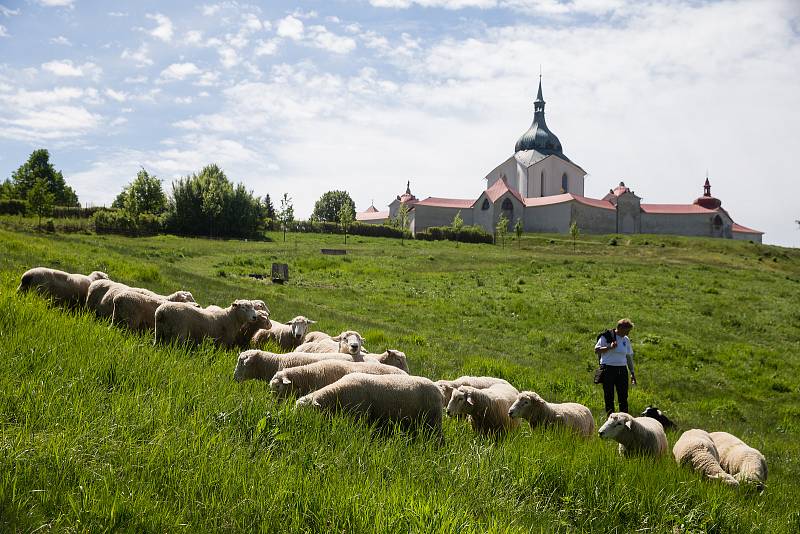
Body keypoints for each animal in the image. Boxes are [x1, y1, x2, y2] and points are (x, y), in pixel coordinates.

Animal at [294, 372, 444, 444]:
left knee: (437, 439)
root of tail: (438, 389)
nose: (297, 425)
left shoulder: (359, 417)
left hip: (433, 421)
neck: (338, 394)